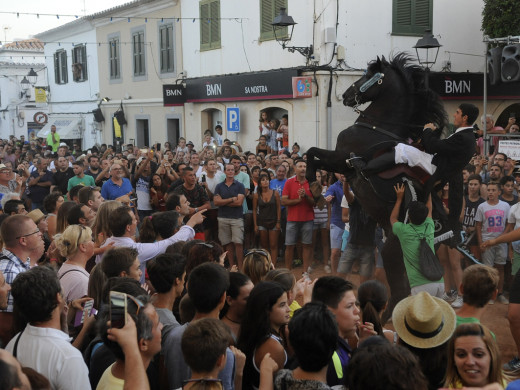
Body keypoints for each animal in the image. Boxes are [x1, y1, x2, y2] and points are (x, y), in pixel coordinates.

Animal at [306, 52, 448, 320]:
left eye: (368, 75)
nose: (347, 95)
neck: (377, 128)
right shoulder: (339, 162)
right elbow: (313, 153)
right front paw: (315, 188)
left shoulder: (342, 160)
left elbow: (311, 152)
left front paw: (311, 182)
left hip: (391, 253)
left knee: (400, 290)